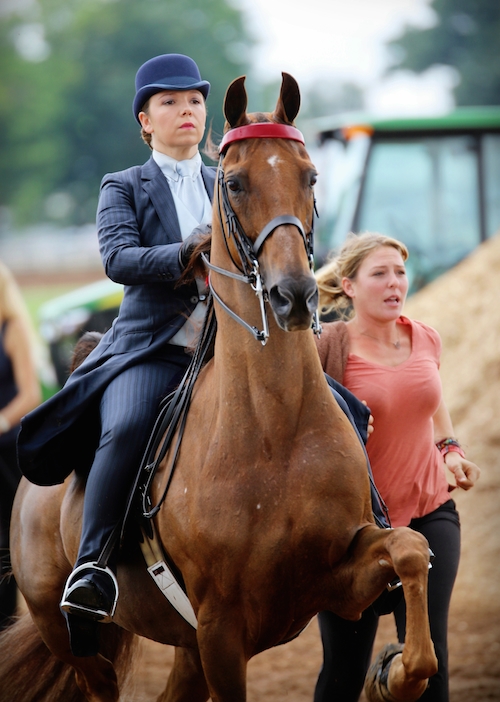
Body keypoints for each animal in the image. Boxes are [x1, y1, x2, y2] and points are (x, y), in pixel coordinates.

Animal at [1, 74, 436, 700]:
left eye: (310, 176)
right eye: (234, 183)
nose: (294, 296)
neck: (276, 425)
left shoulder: (336, 576)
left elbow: (410, 550)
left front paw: (396, 673)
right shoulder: (221, 630)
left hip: (181, 647)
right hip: (71, 634)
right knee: (95, 674)